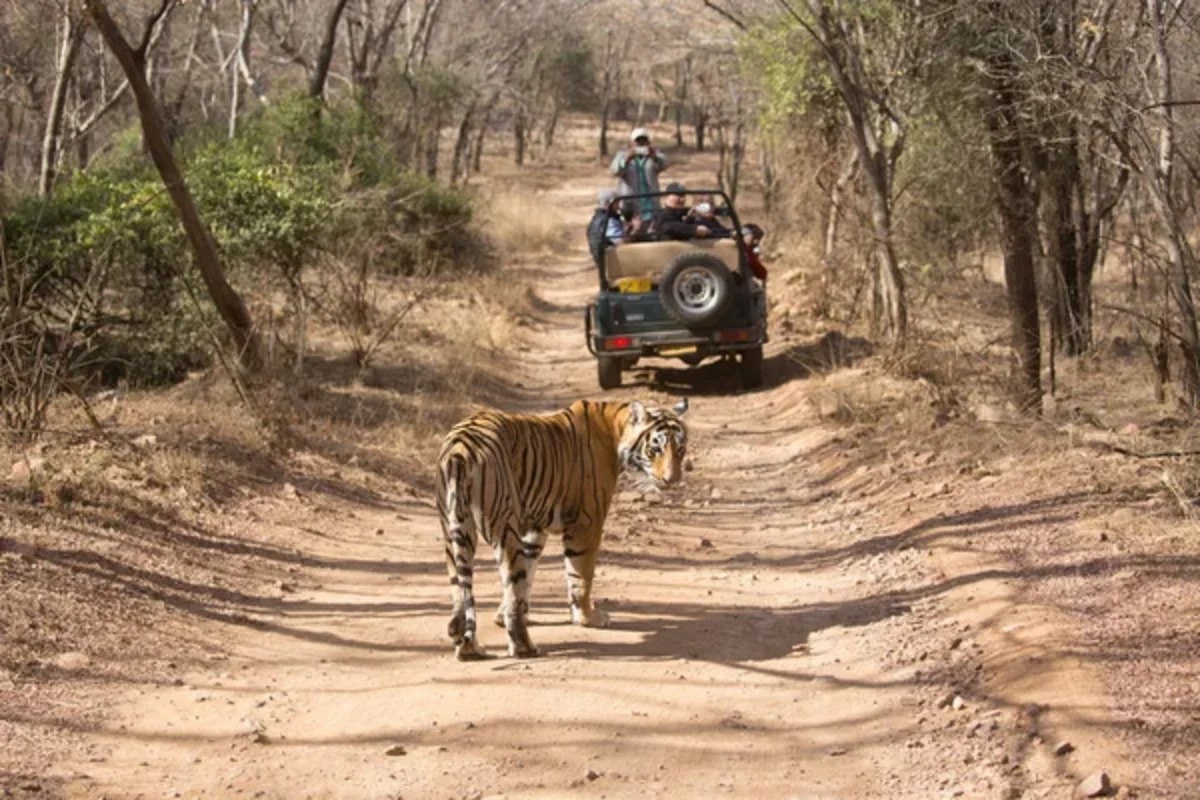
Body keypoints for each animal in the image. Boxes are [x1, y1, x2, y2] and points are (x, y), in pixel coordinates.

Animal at [436, 398, 689, 660]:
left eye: (680, 450)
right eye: (655, 449)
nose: (673, 479)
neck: (615, 428)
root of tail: (460, 450)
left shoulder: (534, 530)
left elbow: (528, 576)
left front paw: (503, 615)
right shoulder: (586, 522)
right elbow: (580, 575)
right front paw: (587, 617)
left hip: (455, 530)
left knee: (460, 590)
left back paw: (469, 649)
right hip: (503, 528)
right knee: (510, 580)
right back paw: (524, 648)